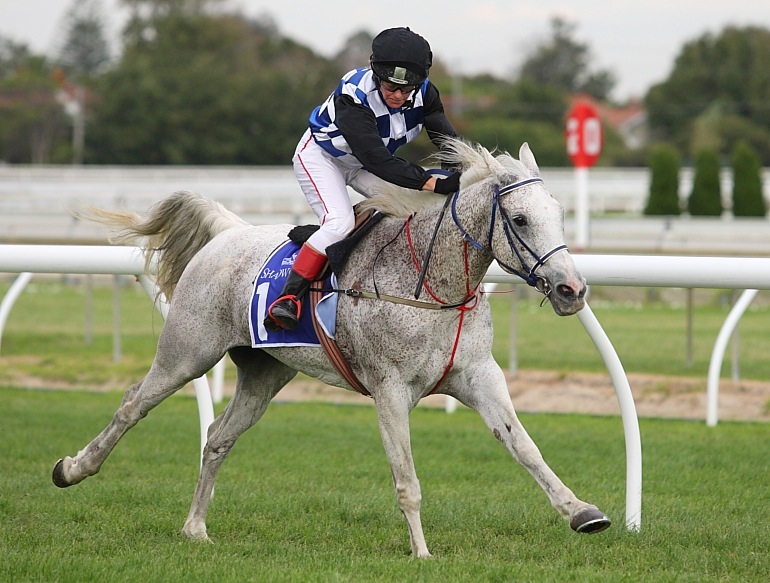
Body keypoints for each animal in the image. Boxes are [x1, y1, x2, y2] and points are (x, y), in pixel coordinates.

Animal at [52, 140, 608, 556]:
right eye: (520, 219)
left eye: (559, 213)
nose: (572, 290)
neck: (432, 284)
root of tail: (228, 232)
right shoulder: (390, 389)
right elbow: (406, 477)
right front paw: (422, 551)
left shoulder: (478, 375)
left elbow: (524, 446)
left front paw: (582, 511)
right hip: (186, 353)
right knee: (133, 405)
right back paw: (74, 468)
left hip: (264, 374)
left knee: (218, 437)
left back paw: (196, 528)